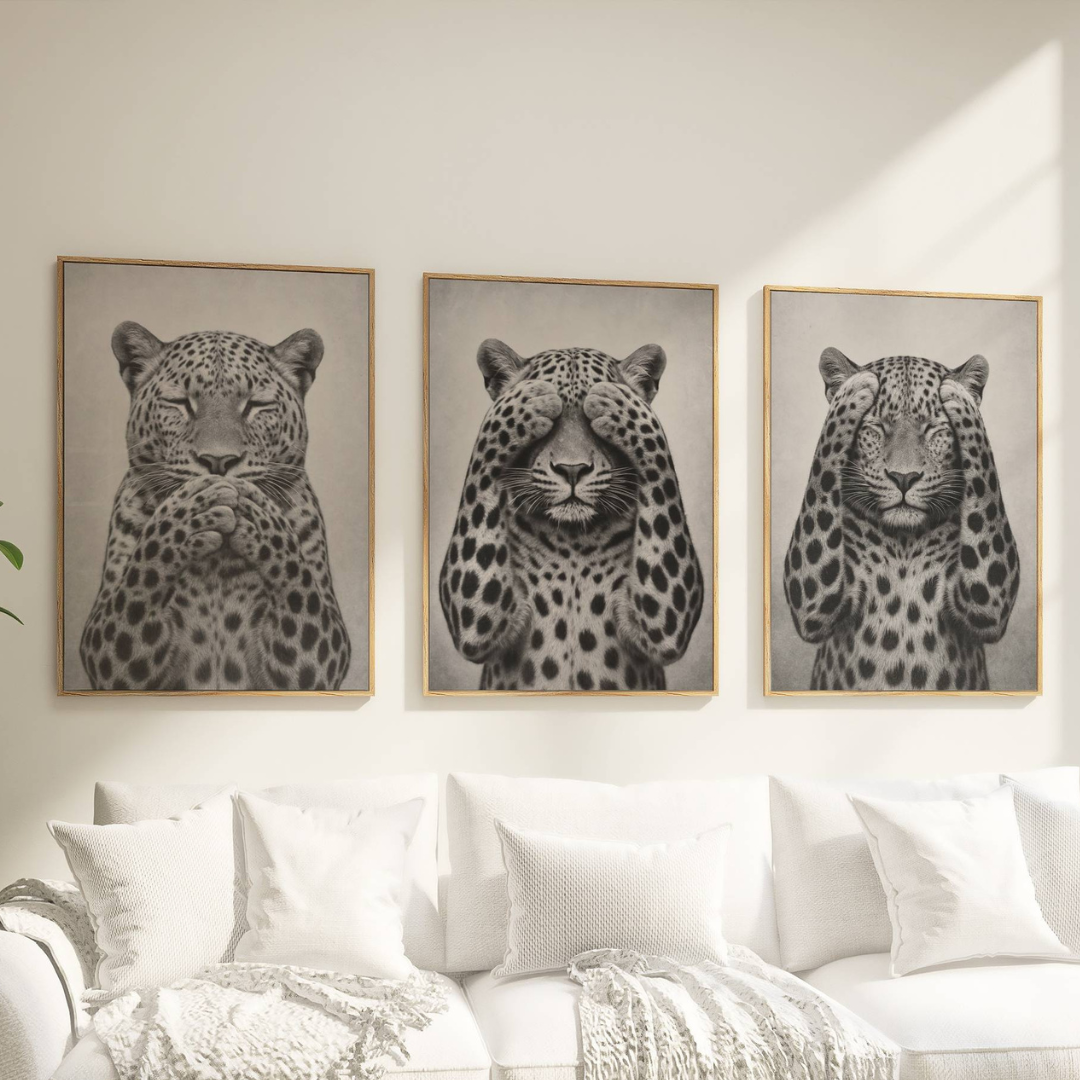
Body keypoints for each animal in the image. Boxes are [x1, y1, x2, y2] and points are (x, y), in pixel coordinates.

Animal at [79, 321, 351, 692]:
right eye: (180, 402)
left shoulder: (320, 658)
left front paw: (258, 516)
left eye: (256, 405)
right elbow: (138, 581)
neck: (218, 566)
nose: (218, 462)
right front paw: (185, 514)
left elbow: (299, 583)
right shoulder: (108, 653)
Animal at [439, 338, 704, 692]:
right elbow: (482, 463)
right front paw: (522, 401)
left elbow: (659, 461)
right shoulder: (476, 621)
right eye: (547, 425)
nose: (573, 470)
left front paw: (621, 404)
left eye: (596, 426)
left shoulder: (666, 621)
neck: (573, 541)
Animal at [782, 347, 1020, 692]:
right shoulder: (813, 601)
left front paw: (960, 396)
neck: (904, 544)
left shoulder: (989, 602)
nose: (904, 478)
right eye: (874, 430)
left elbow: (985, 485)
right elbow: (823, 470)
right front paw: (851, 391)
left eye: (936, 431)